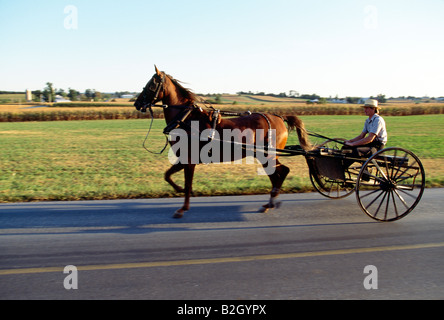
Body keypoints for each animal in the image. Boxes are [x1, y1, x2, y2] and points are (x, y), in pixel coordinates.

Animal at [134, 66, 310, 219]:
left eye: (151, 85)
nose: (137, 103)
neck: (186, 119)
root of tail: (279, 117)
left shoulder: (189, 160)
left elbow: (187, 184)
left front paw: (182, 208)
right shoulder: (183, 159)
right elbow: (168, 175)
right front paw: (179, 189)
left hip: (267, 155)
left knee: (282, 172)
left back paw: (271, 201)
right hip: (264, 155)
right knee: (276, 175)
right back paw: (270, 203)